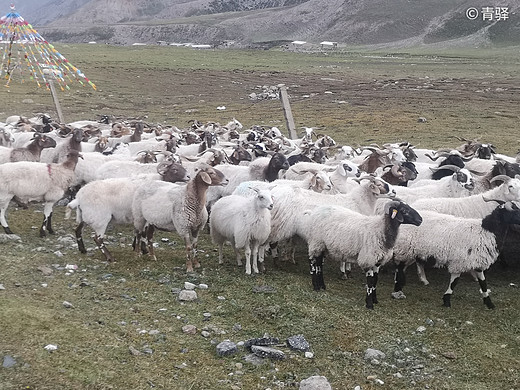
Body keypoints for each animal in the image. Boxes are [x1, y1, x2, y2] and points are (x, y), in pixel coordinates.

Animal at [392, 201, 520, 308]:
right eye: (515, 211)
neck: (486, 230)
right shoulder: (459, 262)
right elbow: (454, 282)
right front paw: (446, 300)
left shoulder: (477, 261)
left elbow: (483, 283)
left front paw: (489, 303)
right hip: (404, 250)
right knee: (399, 268)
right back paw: (397, 289)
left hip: (411, 252)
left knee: (403, 268)